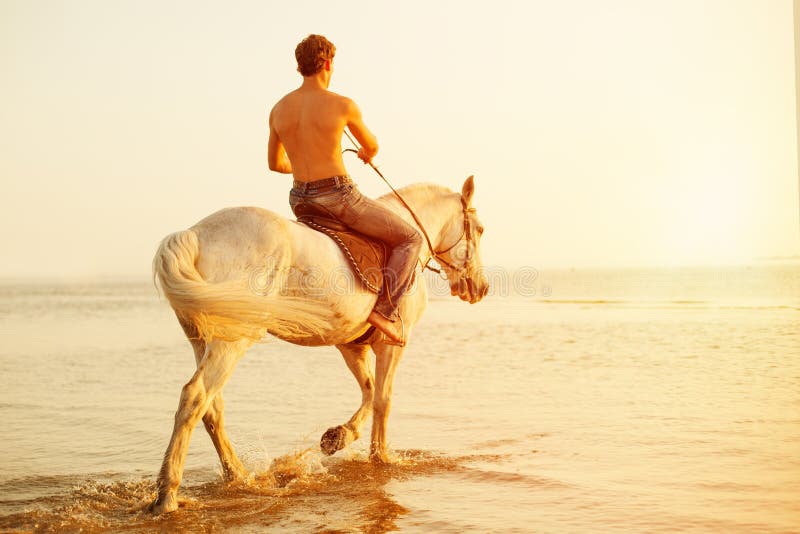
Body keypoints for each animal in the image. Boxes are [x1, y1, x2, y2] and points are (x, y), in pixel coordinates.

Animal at [148, 176, 488, 516]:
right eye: (481, 229)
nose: (481, 288)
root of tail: (194, 234)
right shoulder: (391, 344)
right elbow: (383, 399)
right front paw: (380, 458)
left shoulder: (351, 346)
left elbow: (368, 390)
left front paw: (338, 437)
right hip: (232, 340)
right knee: (195, 396)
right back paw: (167, 496)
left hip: (201, 338)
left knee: (212, 407)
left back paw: (239, 476)